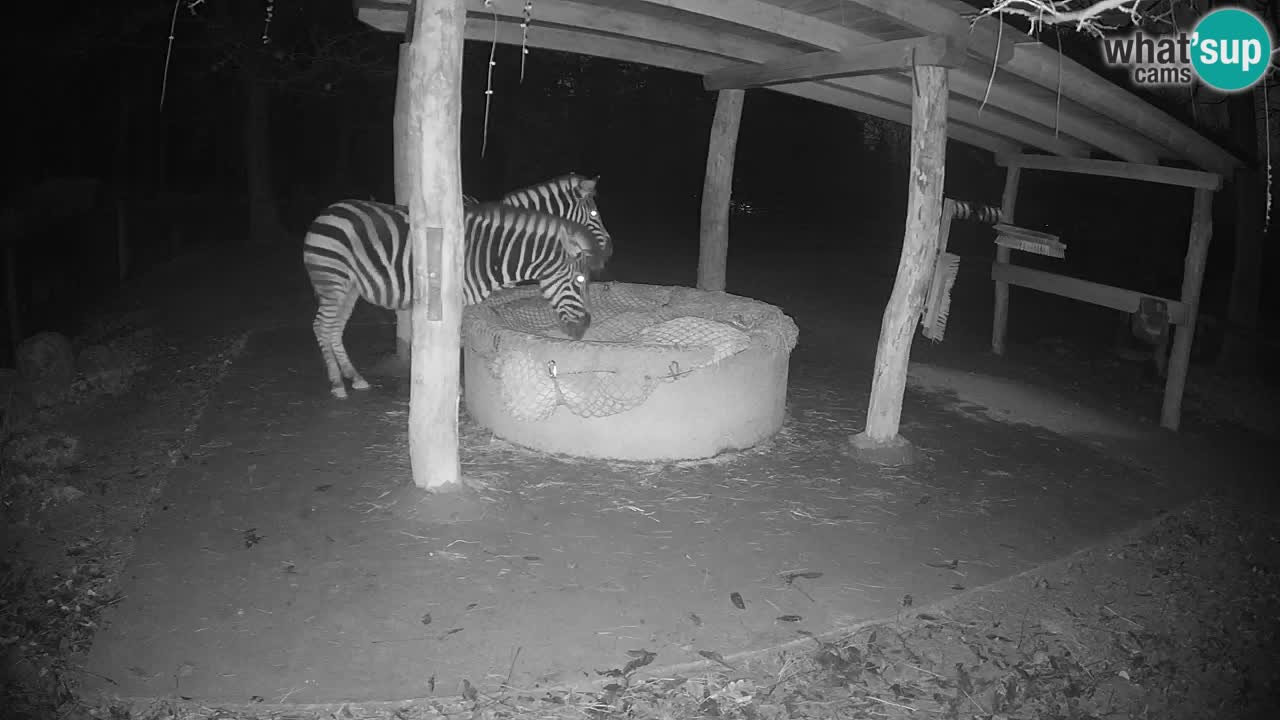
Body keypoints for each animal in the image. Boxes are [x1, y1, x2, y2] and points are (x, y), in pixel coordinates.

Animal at [303, 199, 605, 399]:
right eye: (580, 281)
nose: (584, 328)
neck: (493, 255)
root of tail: (327, 211)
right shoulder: (459, 301)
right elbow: (459, 341)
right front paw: (456, 387)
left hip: (350, 287)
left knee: (334, 329)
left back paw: (354, 378)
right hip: (333, 281)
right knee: (321, 326)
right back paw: (337, 384)